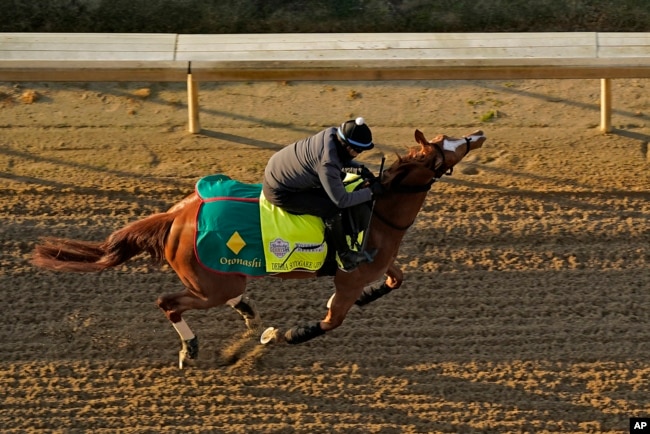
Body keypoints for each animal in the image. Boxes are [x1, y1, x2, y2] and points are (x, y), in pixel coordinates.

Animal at [31, 128, 486, 366]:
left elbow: (396, 280)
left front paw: (370, 298)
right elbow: (329, 321)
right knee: (169, 302)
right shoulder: (348, 278)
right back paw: (191, 348)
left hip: (220, 279)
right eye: (448, 146)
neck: (376, 211)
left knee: (224, 295)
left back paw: (247, 312)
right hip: (211, 284)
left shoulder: (376, 265)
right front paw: (282, 335)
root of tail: (176, 216)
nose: (478, 134)